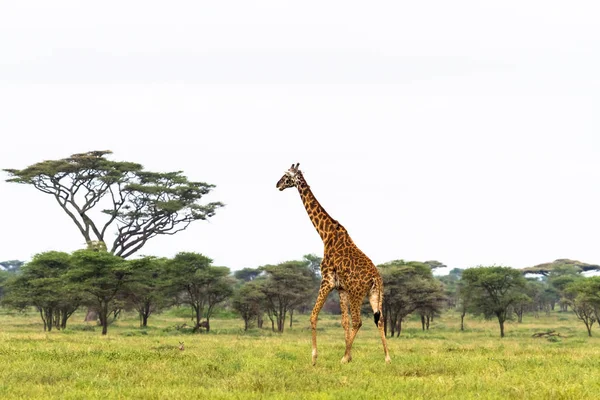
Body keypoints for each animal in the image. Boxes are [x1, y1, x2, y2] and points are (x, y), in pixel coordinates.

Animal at [276, 163, 392, 366]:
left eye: (286, 176)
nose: (277, 185)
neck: (325, 234)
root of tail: (375, 278)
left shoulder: (327, 280)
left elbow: (313, 316)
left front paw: (315, 357)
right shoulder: (341, 288)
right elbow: (344, 322)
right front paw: (350, 354)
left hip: (357, 293)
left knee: (359, 321)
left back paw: (343, 358)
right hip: (375, 295)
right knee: (379, 319)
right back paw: (386, 357)